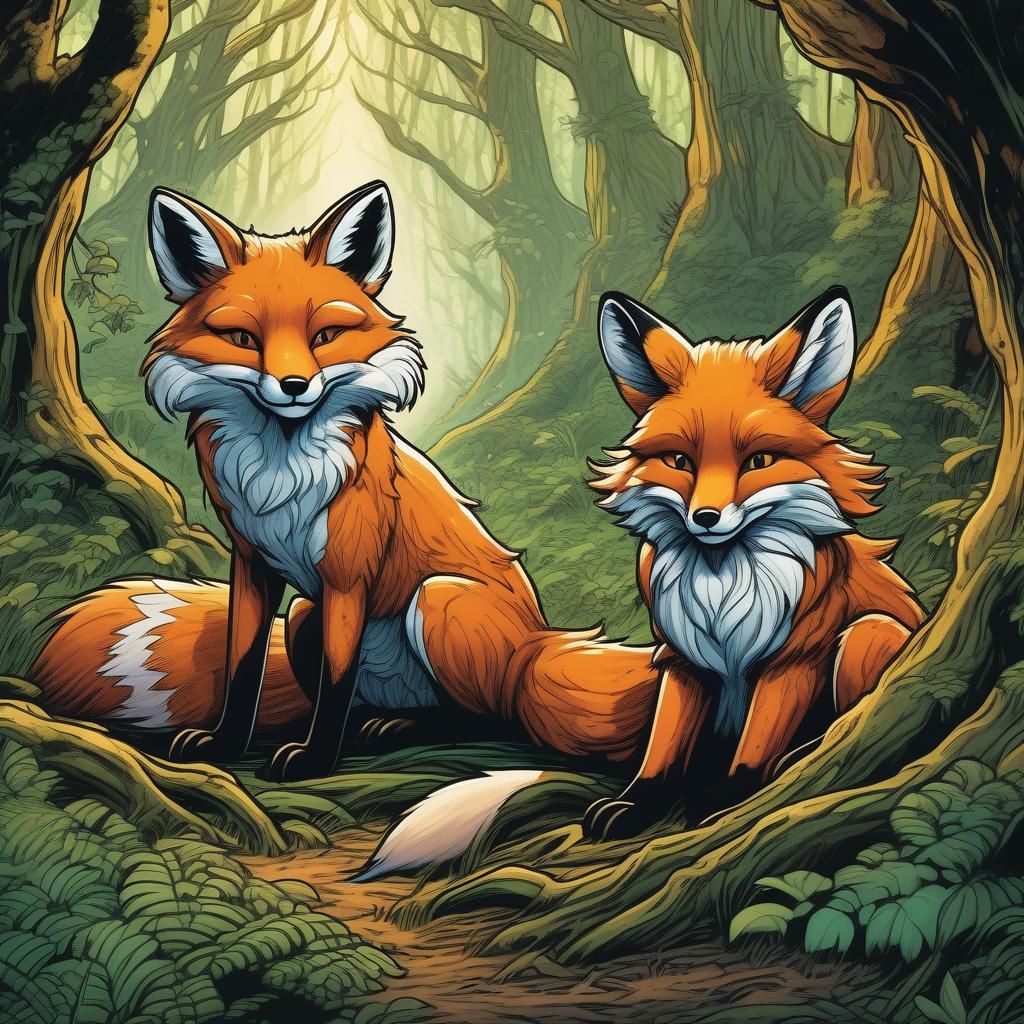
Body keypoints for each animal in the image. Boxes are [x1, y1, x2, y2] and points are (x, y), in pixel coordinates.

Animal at [30, 181, 660, 784]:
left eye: (326, 334)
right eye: (243, 339)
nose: (293, 385)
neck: (281, 476)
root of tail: (536, 647)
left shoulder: (348, 576)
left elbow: (335, 682)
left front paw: (313, 761)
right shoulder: (253, 566)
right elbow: (243, 666)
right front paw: (228, 745)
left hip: (439, 600)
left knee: (484, 715)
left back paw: (398, 730)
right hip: (305, 617)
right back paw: (381, 725)